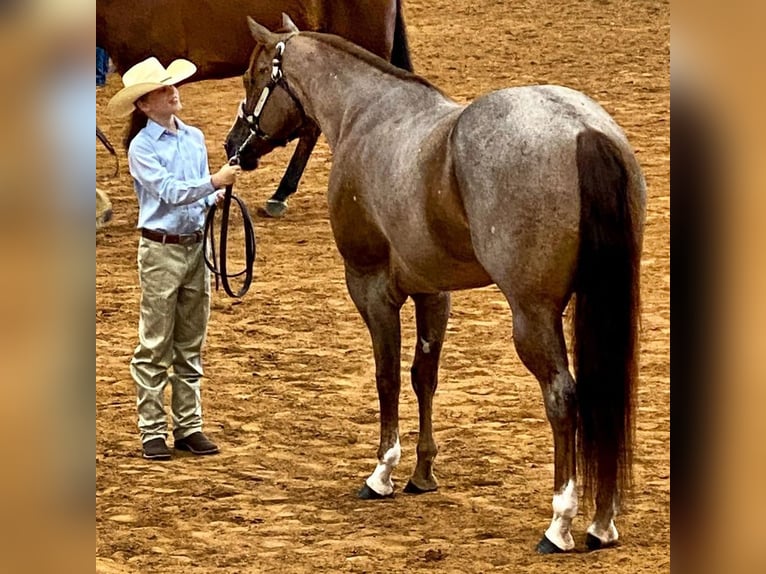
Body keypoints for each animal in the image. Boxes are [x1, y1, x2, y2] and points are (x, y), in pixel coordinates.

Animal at [227, 16, 646, 554]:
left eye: (254, 77)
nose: (233, 146)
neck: (366, 115)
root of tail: (583, 131)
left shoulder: (369, 285)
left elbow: (385, 375)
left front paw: (382, 472)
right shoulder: (433, 291)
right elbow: (423, 375)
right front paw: (422, 473)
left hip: (533, 315)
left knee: (563, 398)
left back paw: (560, 524)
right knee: (601, 396)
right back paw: (602, 521)